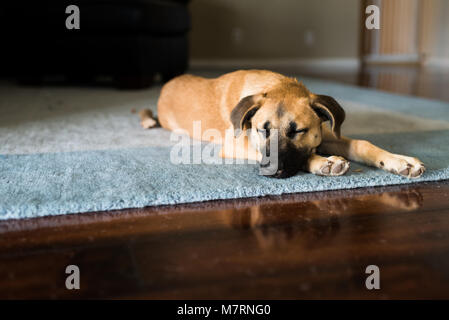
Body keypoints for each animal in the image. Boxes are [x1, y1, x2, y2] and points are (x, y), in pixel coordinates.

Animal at [156, 69, 426, 179]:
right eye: (261, 130)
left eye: (298, 131)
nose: (269, 172)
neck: (278, 86)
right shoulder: (236, 144)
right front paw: (323, 162)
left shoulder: (327, 134)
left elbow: (362, 144)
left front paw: (400, 161)